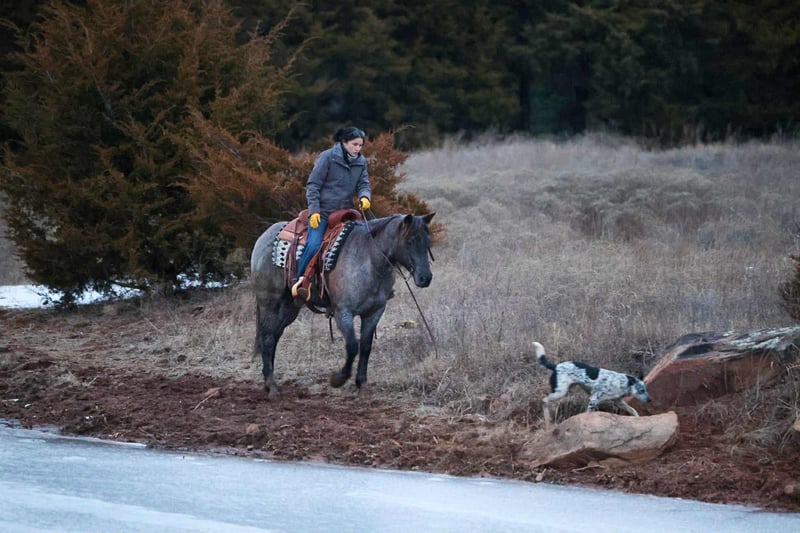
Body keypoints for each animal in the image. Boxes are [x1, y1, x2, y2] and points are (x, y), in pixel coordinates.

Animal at [250, 212, 435, 396]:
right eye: (409, 241)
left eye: (428, 241)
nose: (425, 278)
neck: (368, 259)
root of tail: (264, 236)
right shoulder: (343, 312)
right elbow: (353, 346)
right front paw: (338, 379)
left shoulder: (374, 312)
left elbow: (366, 346)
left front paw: (361, 383)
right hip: (270, 301)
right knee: (267, 337)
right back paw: (271, 385)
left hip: (289, 308)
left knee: (275, 335)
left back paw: (268, 380)